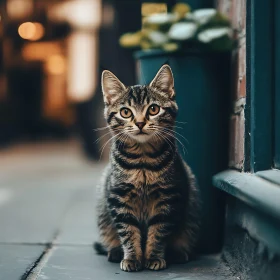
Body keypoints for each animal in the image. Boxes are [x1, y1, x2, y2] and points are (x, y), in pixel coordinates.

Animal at [95, 64, 200, 272]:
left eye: (153, 109)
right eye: (125, 112)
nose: (140, 123)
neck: (142, 161)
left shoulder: (167, 198)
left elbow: (158, 232)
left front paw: (153, 257)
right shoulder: (119, 198)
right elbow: (128, 232)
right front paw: (132, 258)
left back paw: (178, 254)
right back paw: (115, 251)